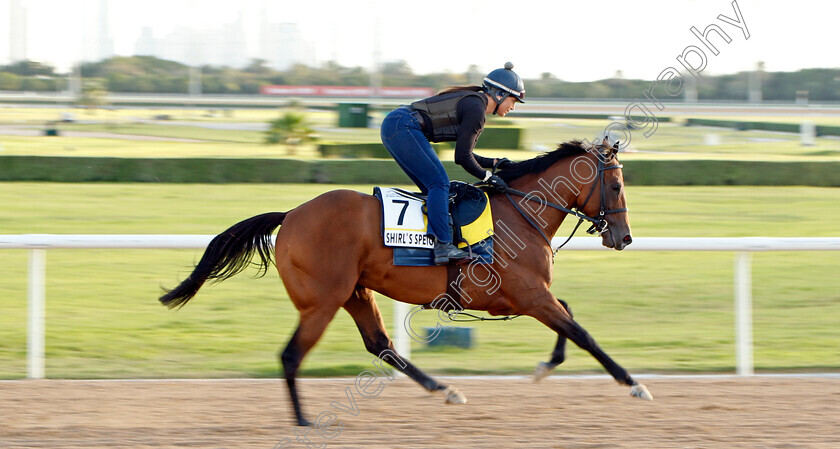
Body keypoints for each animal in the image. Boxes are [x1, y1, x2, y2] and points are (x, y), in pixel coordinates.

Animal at [161, 138, 652, 426]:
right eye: (616, 185)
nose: (624, 237)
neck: (521, 213)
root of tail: (292, 214)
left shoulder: (523, 297)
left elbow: (568, 314)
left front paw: (545, 365)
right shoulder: (529, 294)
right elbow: (581, 331)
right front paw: (633, 383)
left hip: (356, 292)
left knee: (381, 345)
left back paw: (446, 389)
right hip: (323, 301)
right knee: (291, 355)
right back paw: (303, 421)